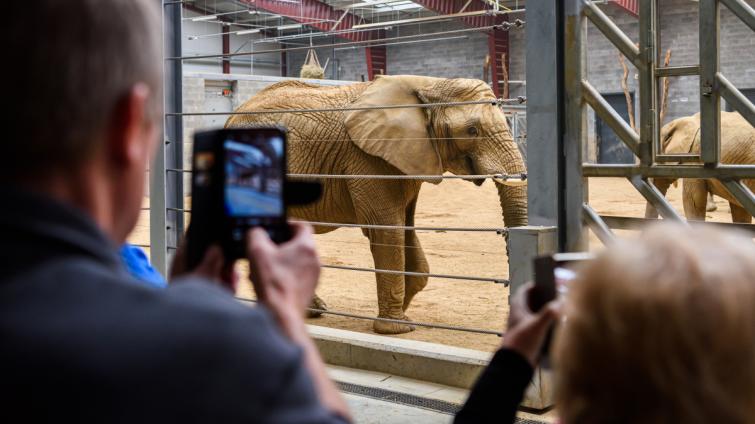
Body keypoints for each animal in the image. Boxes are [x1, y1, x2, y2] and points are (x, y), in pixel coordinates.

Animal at [227, 75, 528, 334]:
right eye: (472, 130)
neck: (429, 86)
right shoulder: (367, 159)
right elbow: (386, 229)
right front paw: (397, 328)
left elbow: (407, 231)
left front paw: (404, 312)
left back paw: (309, 310)